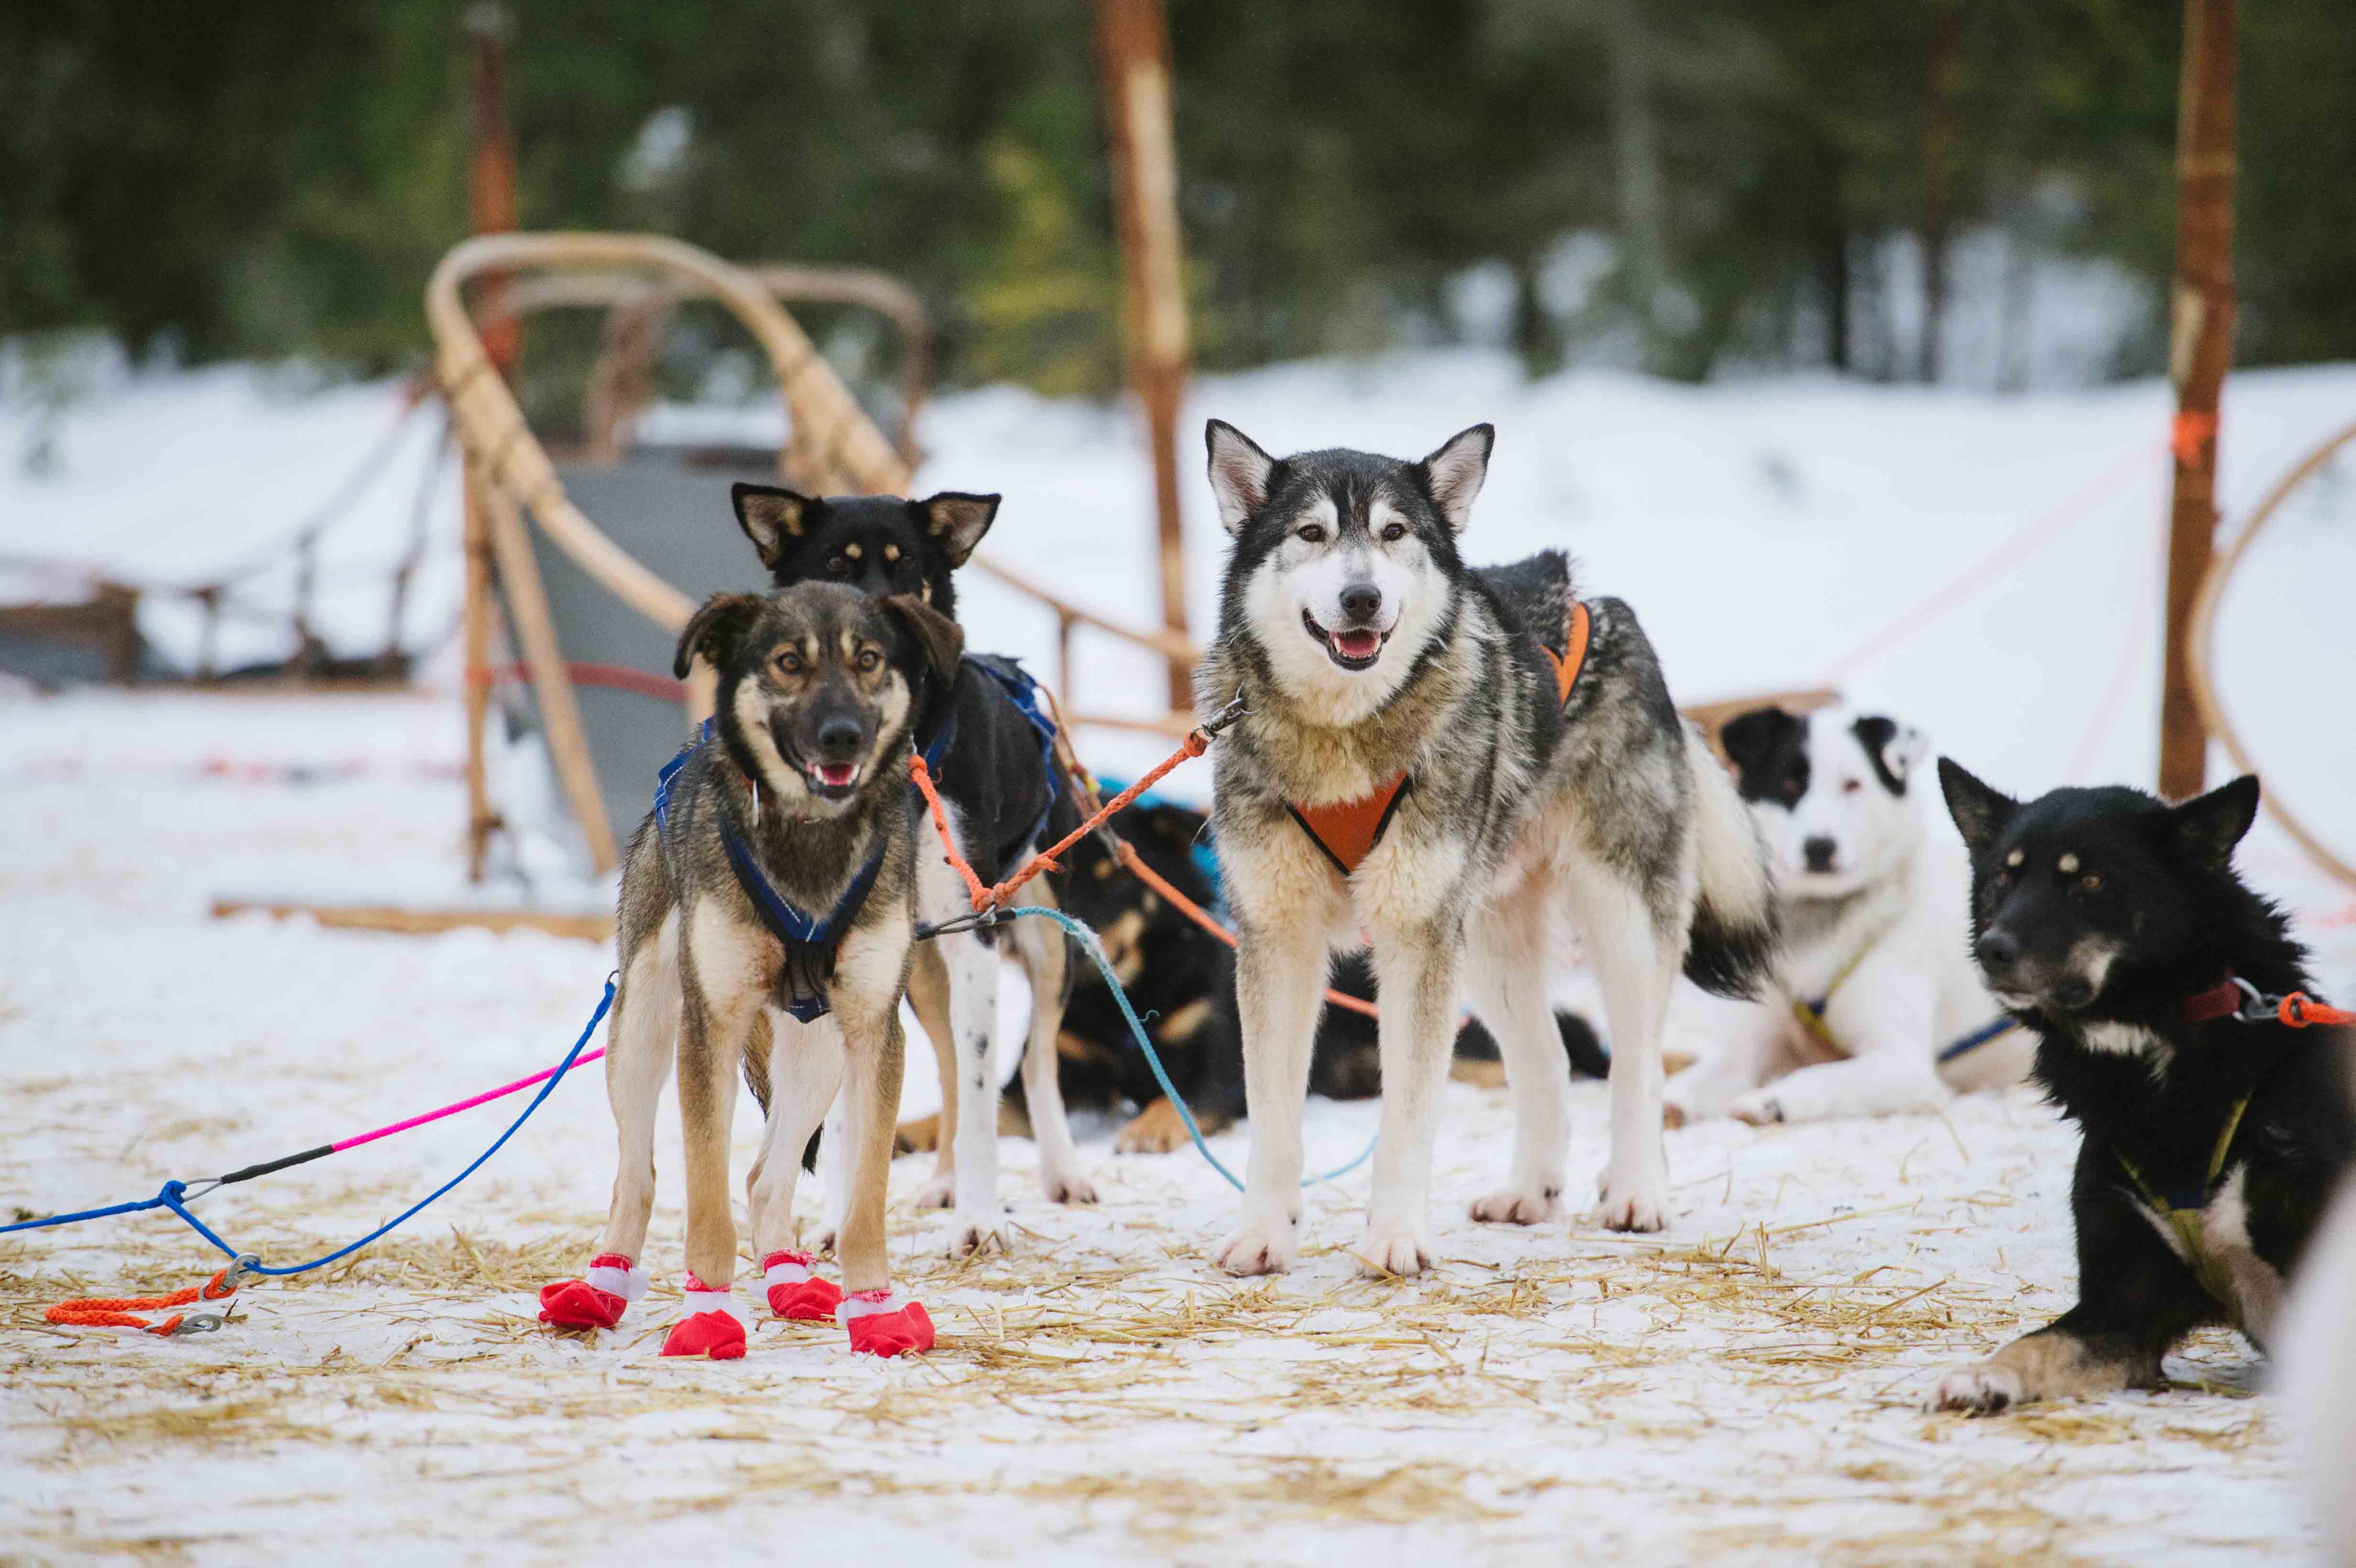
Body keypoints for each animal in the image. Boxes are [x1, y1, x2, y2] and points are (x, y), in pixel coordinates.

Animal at [537, 579, 966, 1347]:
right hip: (643, 1023)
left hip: (817, 1051)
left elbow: (864, 1201)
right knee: (637, 1175)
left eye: (868, 659)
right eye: (789, 662)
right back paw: (600, 1287)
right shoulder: (709, 1026)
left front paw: (876, 1309)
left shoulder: (873, 1030)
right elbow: (705, 1201)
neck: (810, 842)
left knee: (767, 1178)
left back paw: (788, 1277)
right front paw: (707, 1314)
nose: (842, 735)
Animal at [1668, 697, 2035, 1125]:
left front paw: (1774, 1101)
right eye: (1789, 785)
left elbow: (1826, 1074)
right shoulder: (1748, 1048)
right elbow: (1706, 1074)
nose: (1820, 847)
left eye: (1852, 785)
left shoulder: (1902, 1064)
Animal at [1931, 762, 2356, 1412]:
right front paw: (1984, 1376)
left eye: (2090, 880)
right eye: (2003, 877)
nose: (1991, 949)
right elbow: (2039, 1343)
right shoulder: (2121, 1304)